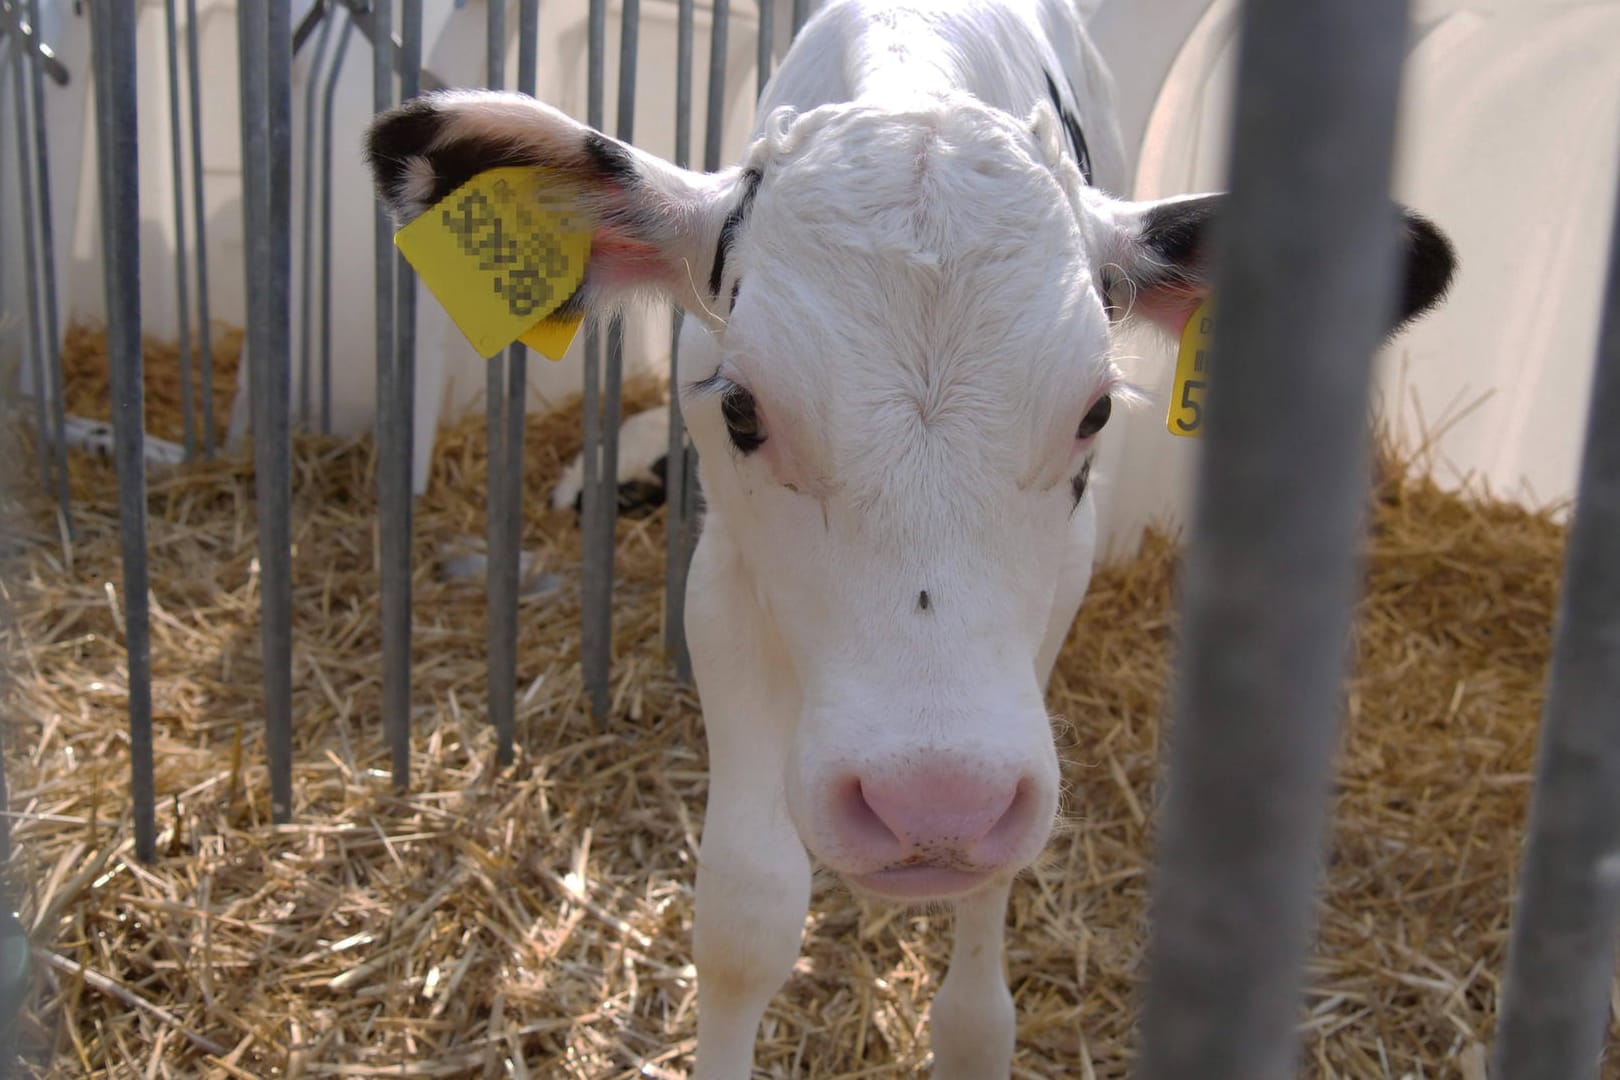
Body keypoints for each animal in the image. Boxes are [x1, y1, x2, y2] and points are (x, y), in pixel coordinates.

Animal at [367, 0, 1458, 1075]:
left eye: (1097, 411)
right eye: (743, 410)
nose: (934, 807)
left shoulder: (1057, 596)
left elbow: (993, 888)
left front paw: (973, 1034)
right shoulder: (723, 580)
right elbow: (746, 914)